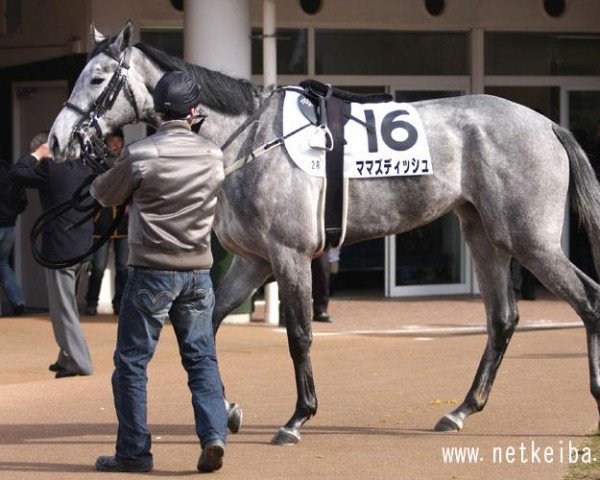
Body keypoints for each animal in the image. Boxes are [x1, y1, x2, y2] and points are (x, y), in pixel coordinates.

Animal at [49, 21, 600, 442]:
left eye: (97, 78)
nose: (58, 140)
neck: (251, 137)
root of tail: (549, 124)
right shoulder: (254, 261)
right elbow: (211, 326)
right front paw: (229, 409)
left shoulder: (289, 255)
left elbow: (299, 334)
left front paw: (298, 417)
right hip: (484, 234)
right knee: (503, 318)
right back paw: (461, 410)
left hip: (529, 238)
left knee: (588, 301)